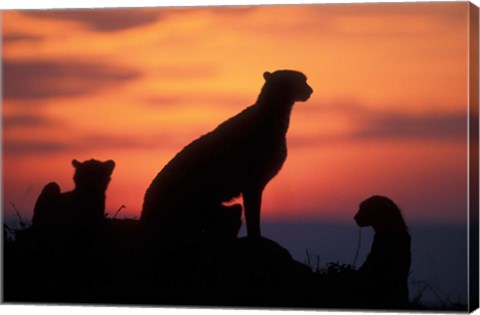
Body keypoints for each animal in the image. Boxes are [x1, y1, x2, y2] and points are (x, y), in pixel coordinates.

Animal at [142, 70, 316, 243]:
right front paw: (256, 237)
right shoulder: (252, 183)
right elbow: (253, 215)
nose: (310, 90)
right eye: (300, 80)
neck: (275, 114)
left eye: (305, 80)